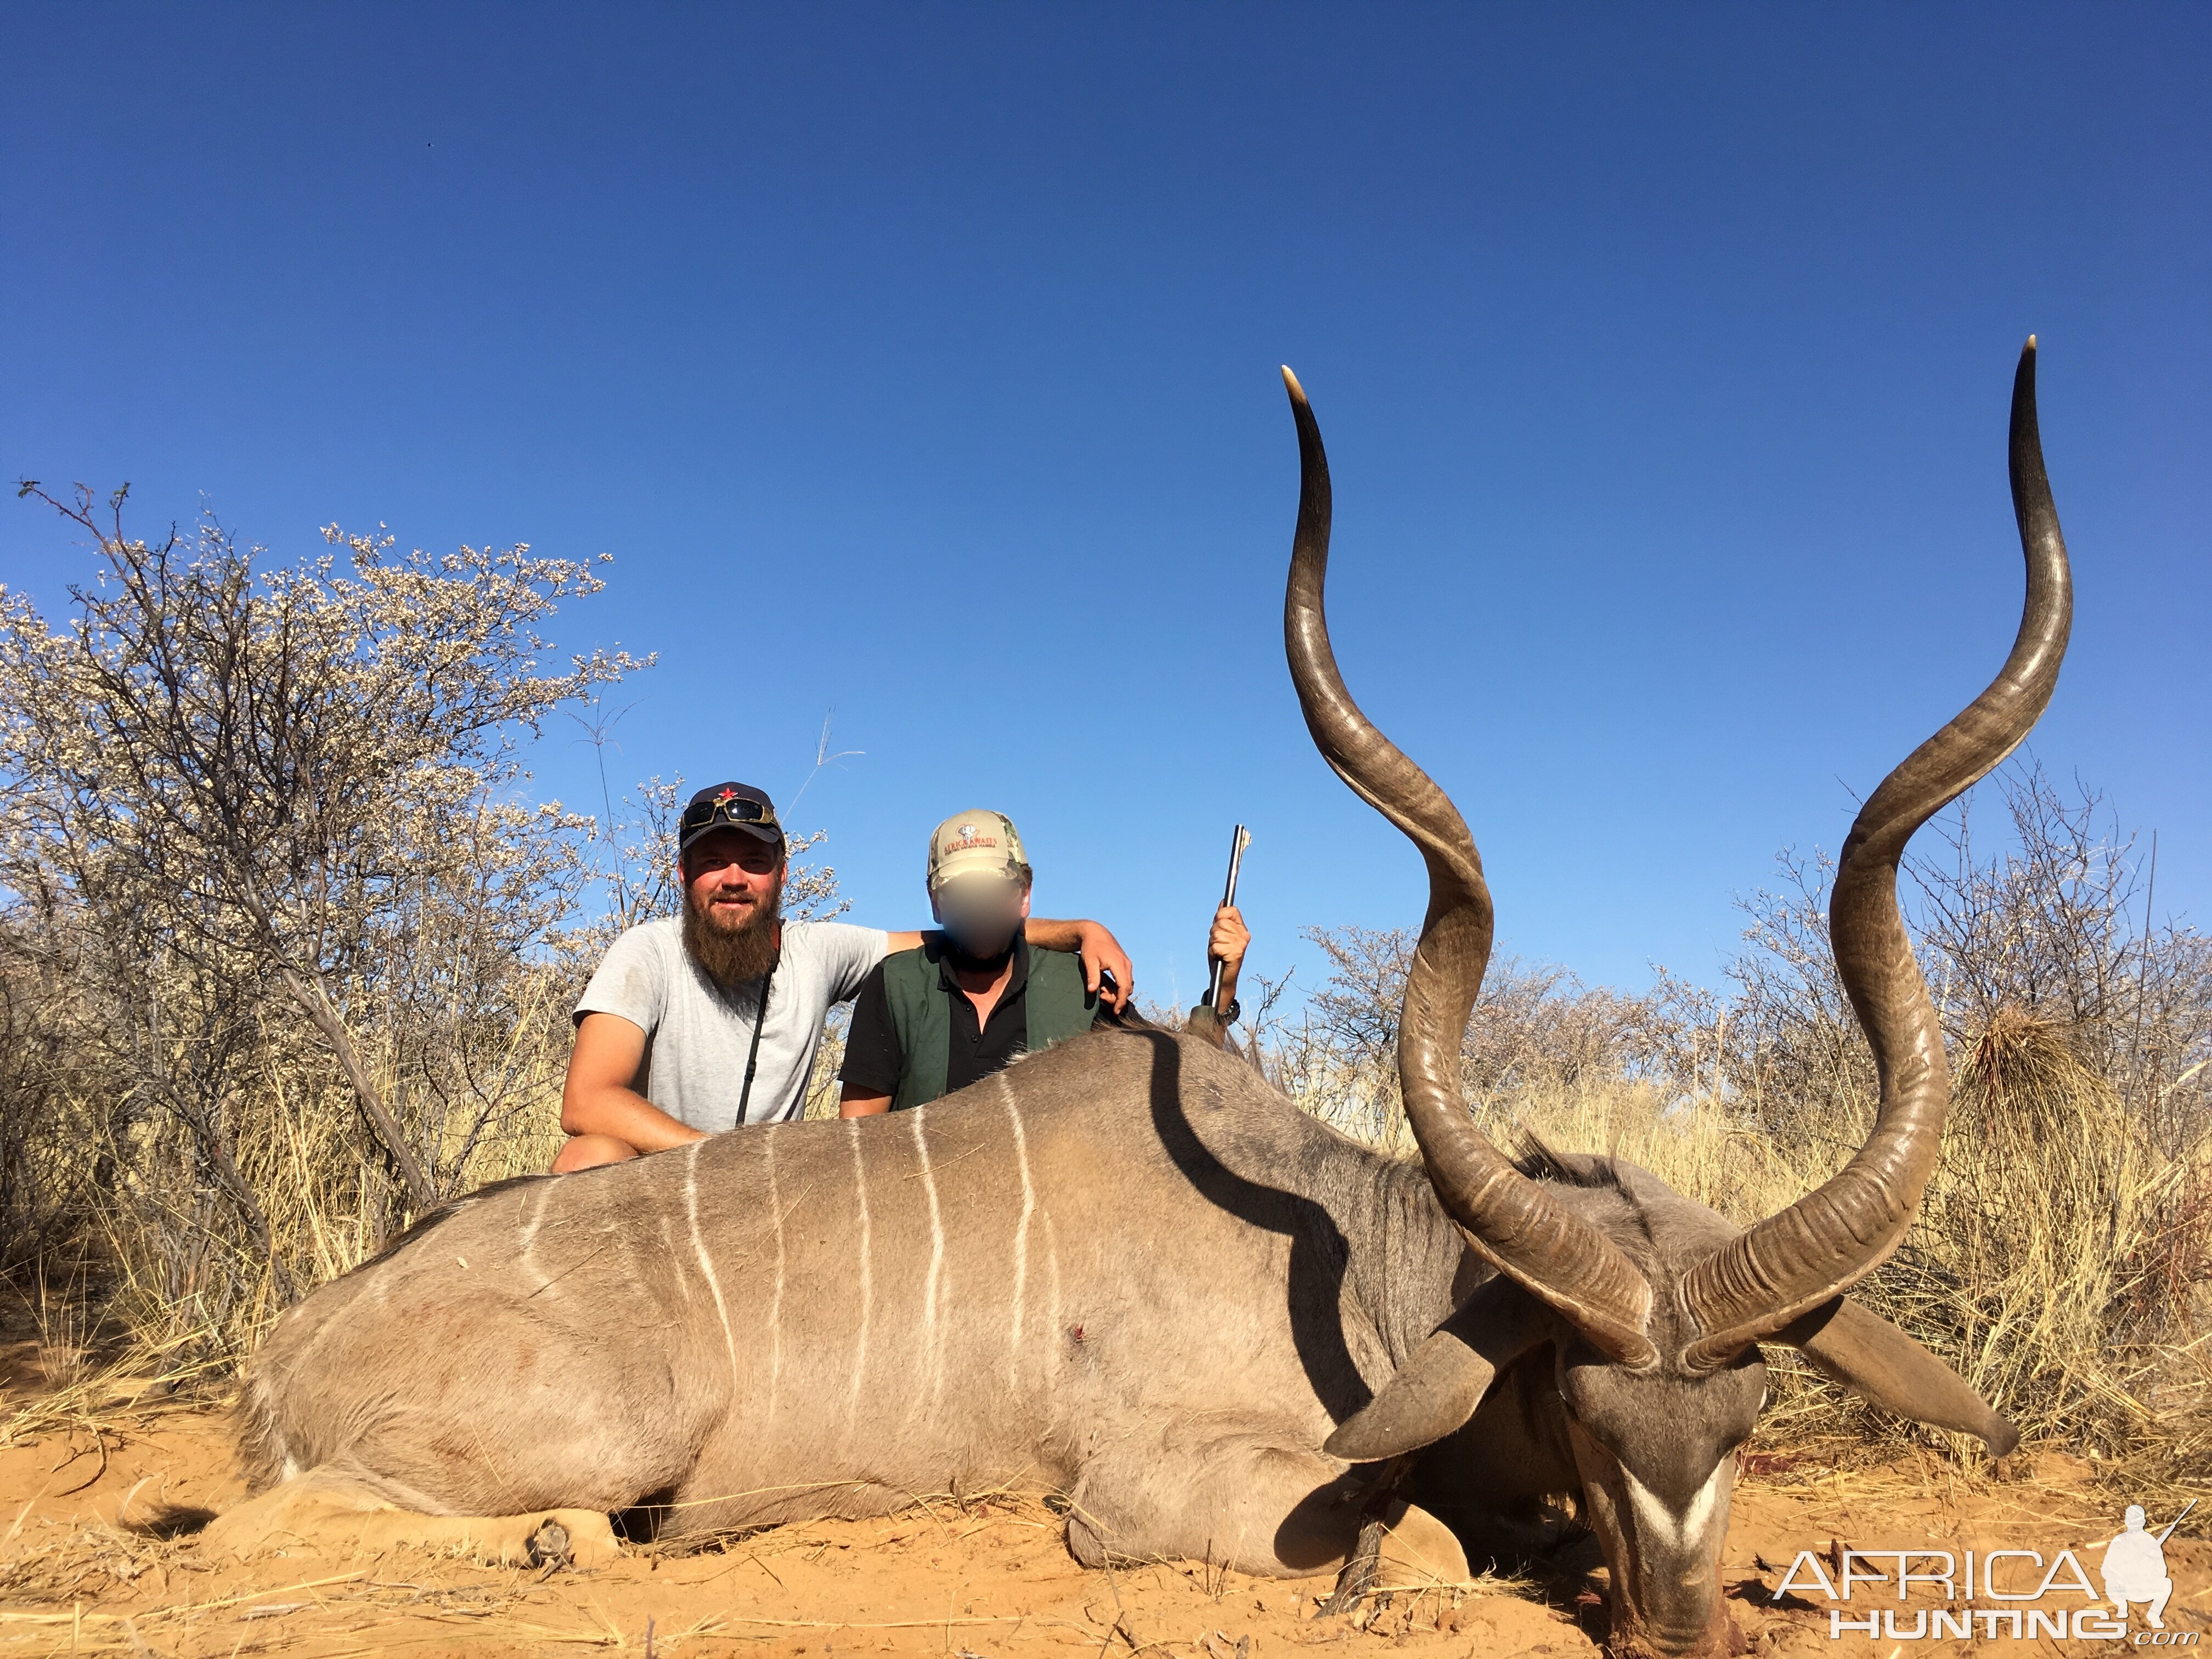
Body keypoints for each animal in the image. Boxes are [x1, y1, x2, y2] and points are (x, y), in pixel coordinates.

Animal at [216, 345, 2061, 1654]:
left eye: (1752, 1412)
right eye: (1587, 1409)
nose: (1681, 1636)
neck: (1364, 1269)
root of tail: (286, 1348)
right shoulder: (1147, 1491)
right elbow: (1432, 1553)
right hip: (605, 1436)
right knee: (309, 1523)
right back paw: (546, 1542)